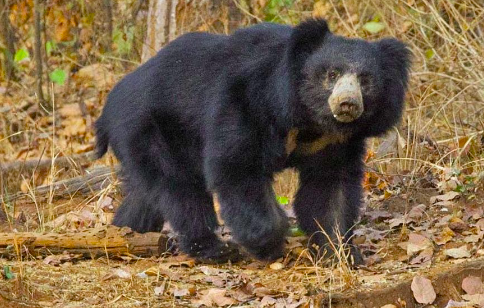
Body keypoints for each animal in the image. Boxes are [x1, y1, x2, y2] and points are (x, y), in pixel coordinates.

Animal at [95, 18, 412, 264]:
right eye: (331, 74)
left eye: (365, 79)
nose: (347, 103)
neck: (309, 118)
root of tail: (108, 108)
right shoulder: (245, 103)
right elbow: (237, 169)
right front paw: (270, 242)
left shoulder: (334, 141)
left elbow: (330, 187)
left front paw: (340, 251)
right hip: (150, 128)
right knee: (179, 188)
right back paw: (212, 249)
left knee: (148, 192)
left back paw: (126, 230)